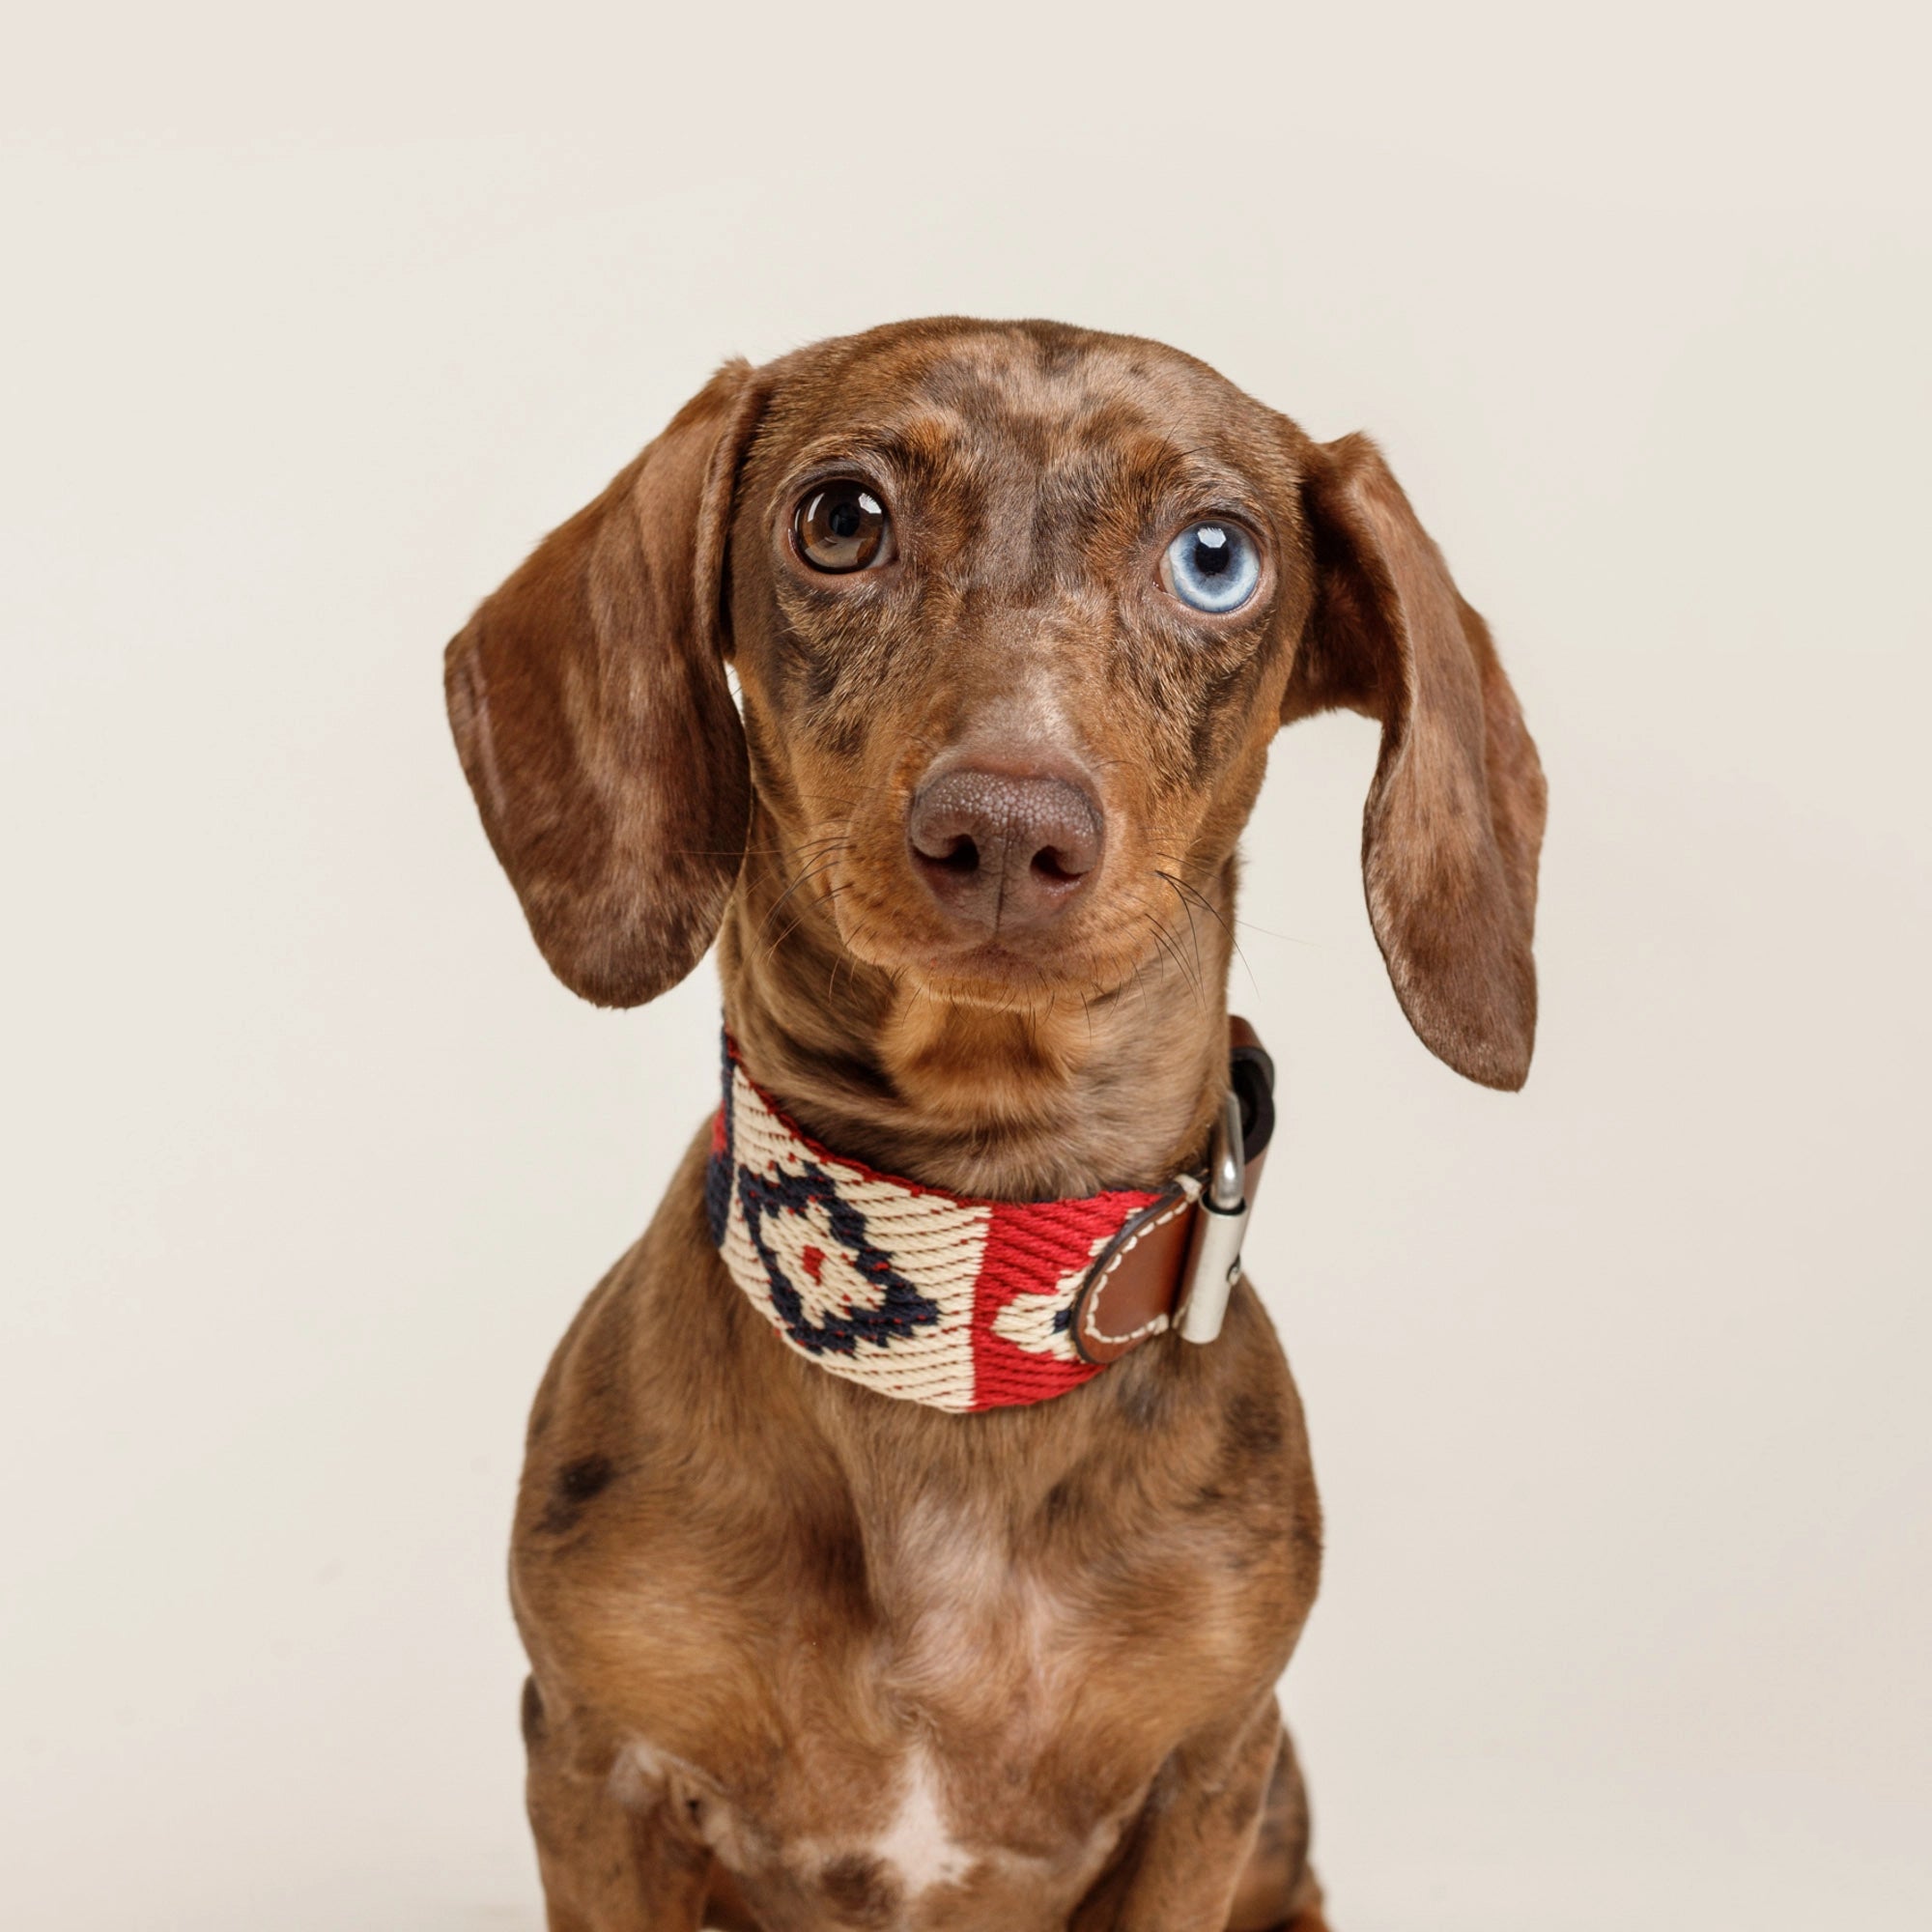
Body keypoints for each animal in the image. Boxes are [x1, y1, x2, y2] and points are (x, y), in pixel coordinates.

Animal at [444, 309, 1546, 1924]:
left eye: (1216, 555)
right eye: (840, 520)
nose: (1010, 829)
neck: (961, 1307)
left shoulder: (1207, 1783)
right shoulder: (593, 1770)